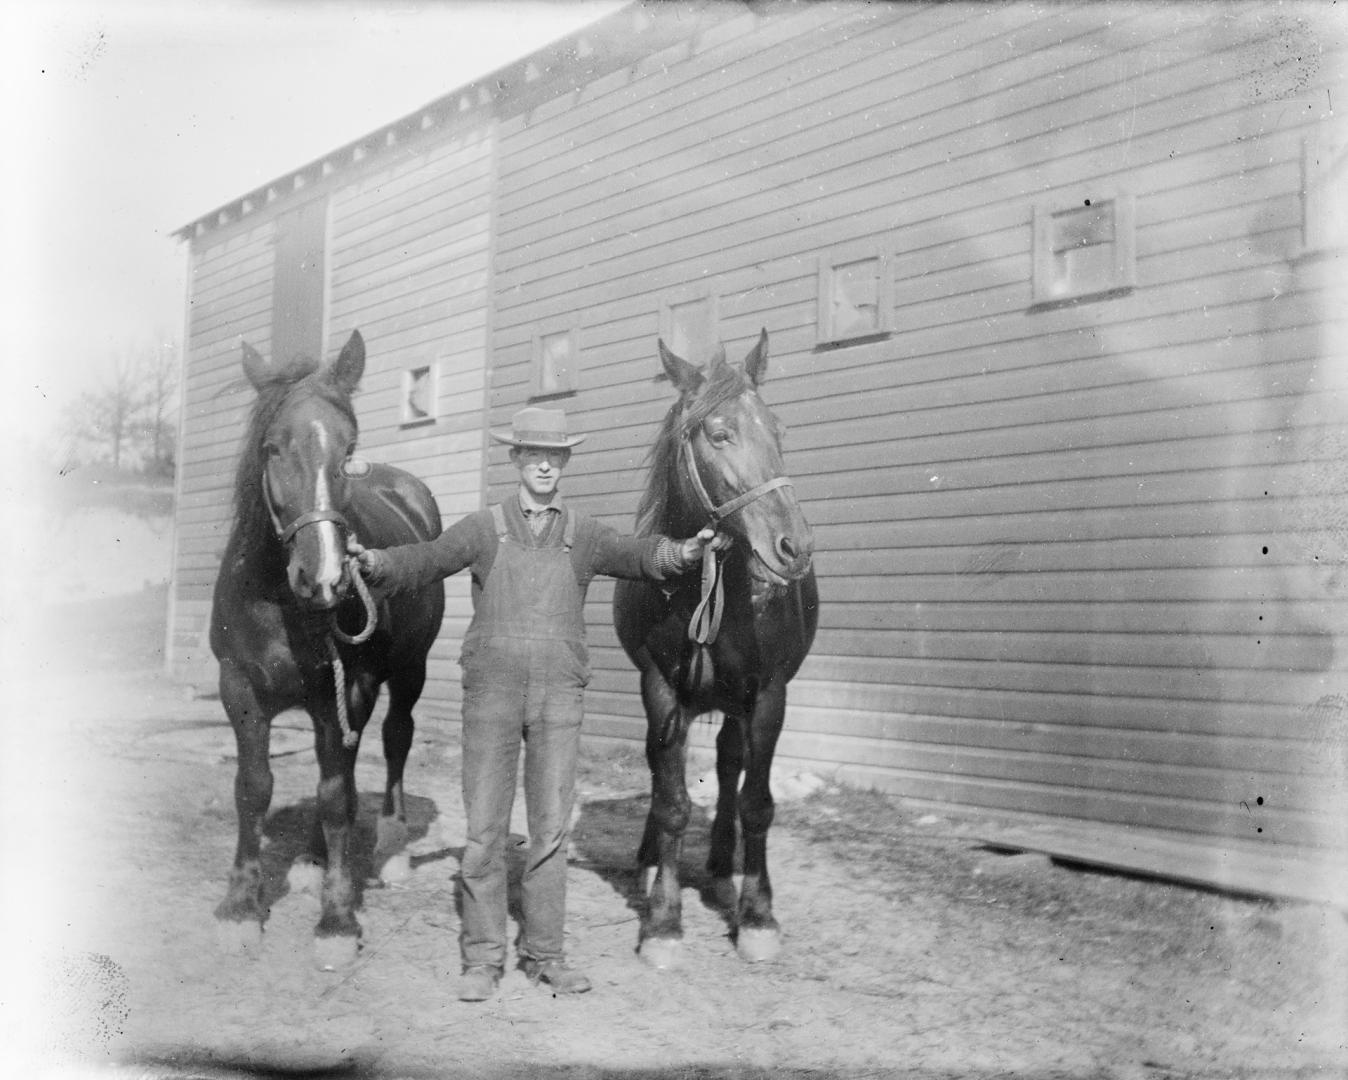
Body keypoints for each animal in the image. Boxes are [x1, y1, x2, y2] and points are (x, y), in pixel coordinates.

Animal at [207, 330, 444, 970]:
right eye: (271, 449)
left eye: (348, 449)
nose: (327, 578)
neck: (279, 600)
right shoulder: (240, 689)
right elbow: (254, 788)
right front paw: (241, 908)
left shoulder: (352, 685)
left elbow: (338, 797)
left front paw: (336, 921)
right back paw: (314, 859)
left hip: (407, 672)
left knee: (393, 741)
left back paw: (391, 846)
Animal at [614, 330, 819, 970]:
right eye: (719, 432)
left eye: (776, 429)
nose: (794, 547)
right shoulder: (661, 690)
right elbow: (673, 800)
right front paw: (662, 921)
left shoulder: (769, 696)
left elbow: (757, 802)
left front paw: (758, 916)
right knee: (666, 770)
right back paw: (651, 858)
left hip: (737, 702)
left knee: (730, 764)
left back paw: (723, 867)